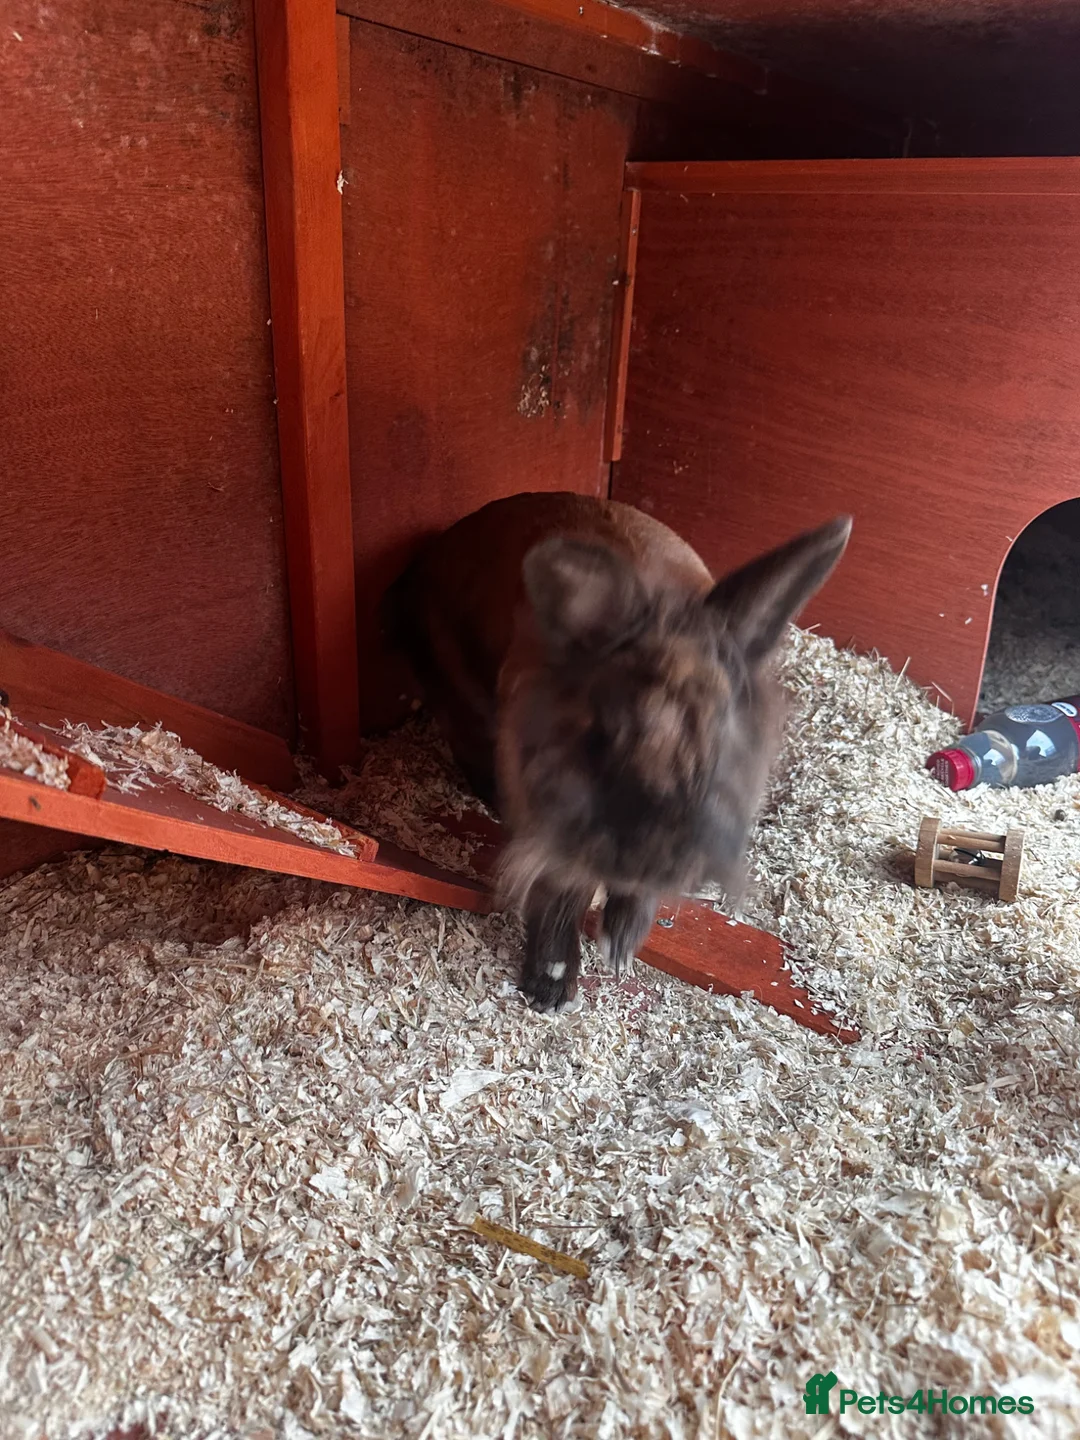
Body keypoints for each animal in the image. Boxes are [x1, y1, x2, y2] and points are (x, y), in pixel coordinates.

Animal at [384, 491, 851, 1013]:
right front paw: (553, 982)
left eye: (721, 740)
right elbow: (562, 888)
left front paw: (622, 944)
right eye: (603, 736)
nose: (654, 860)